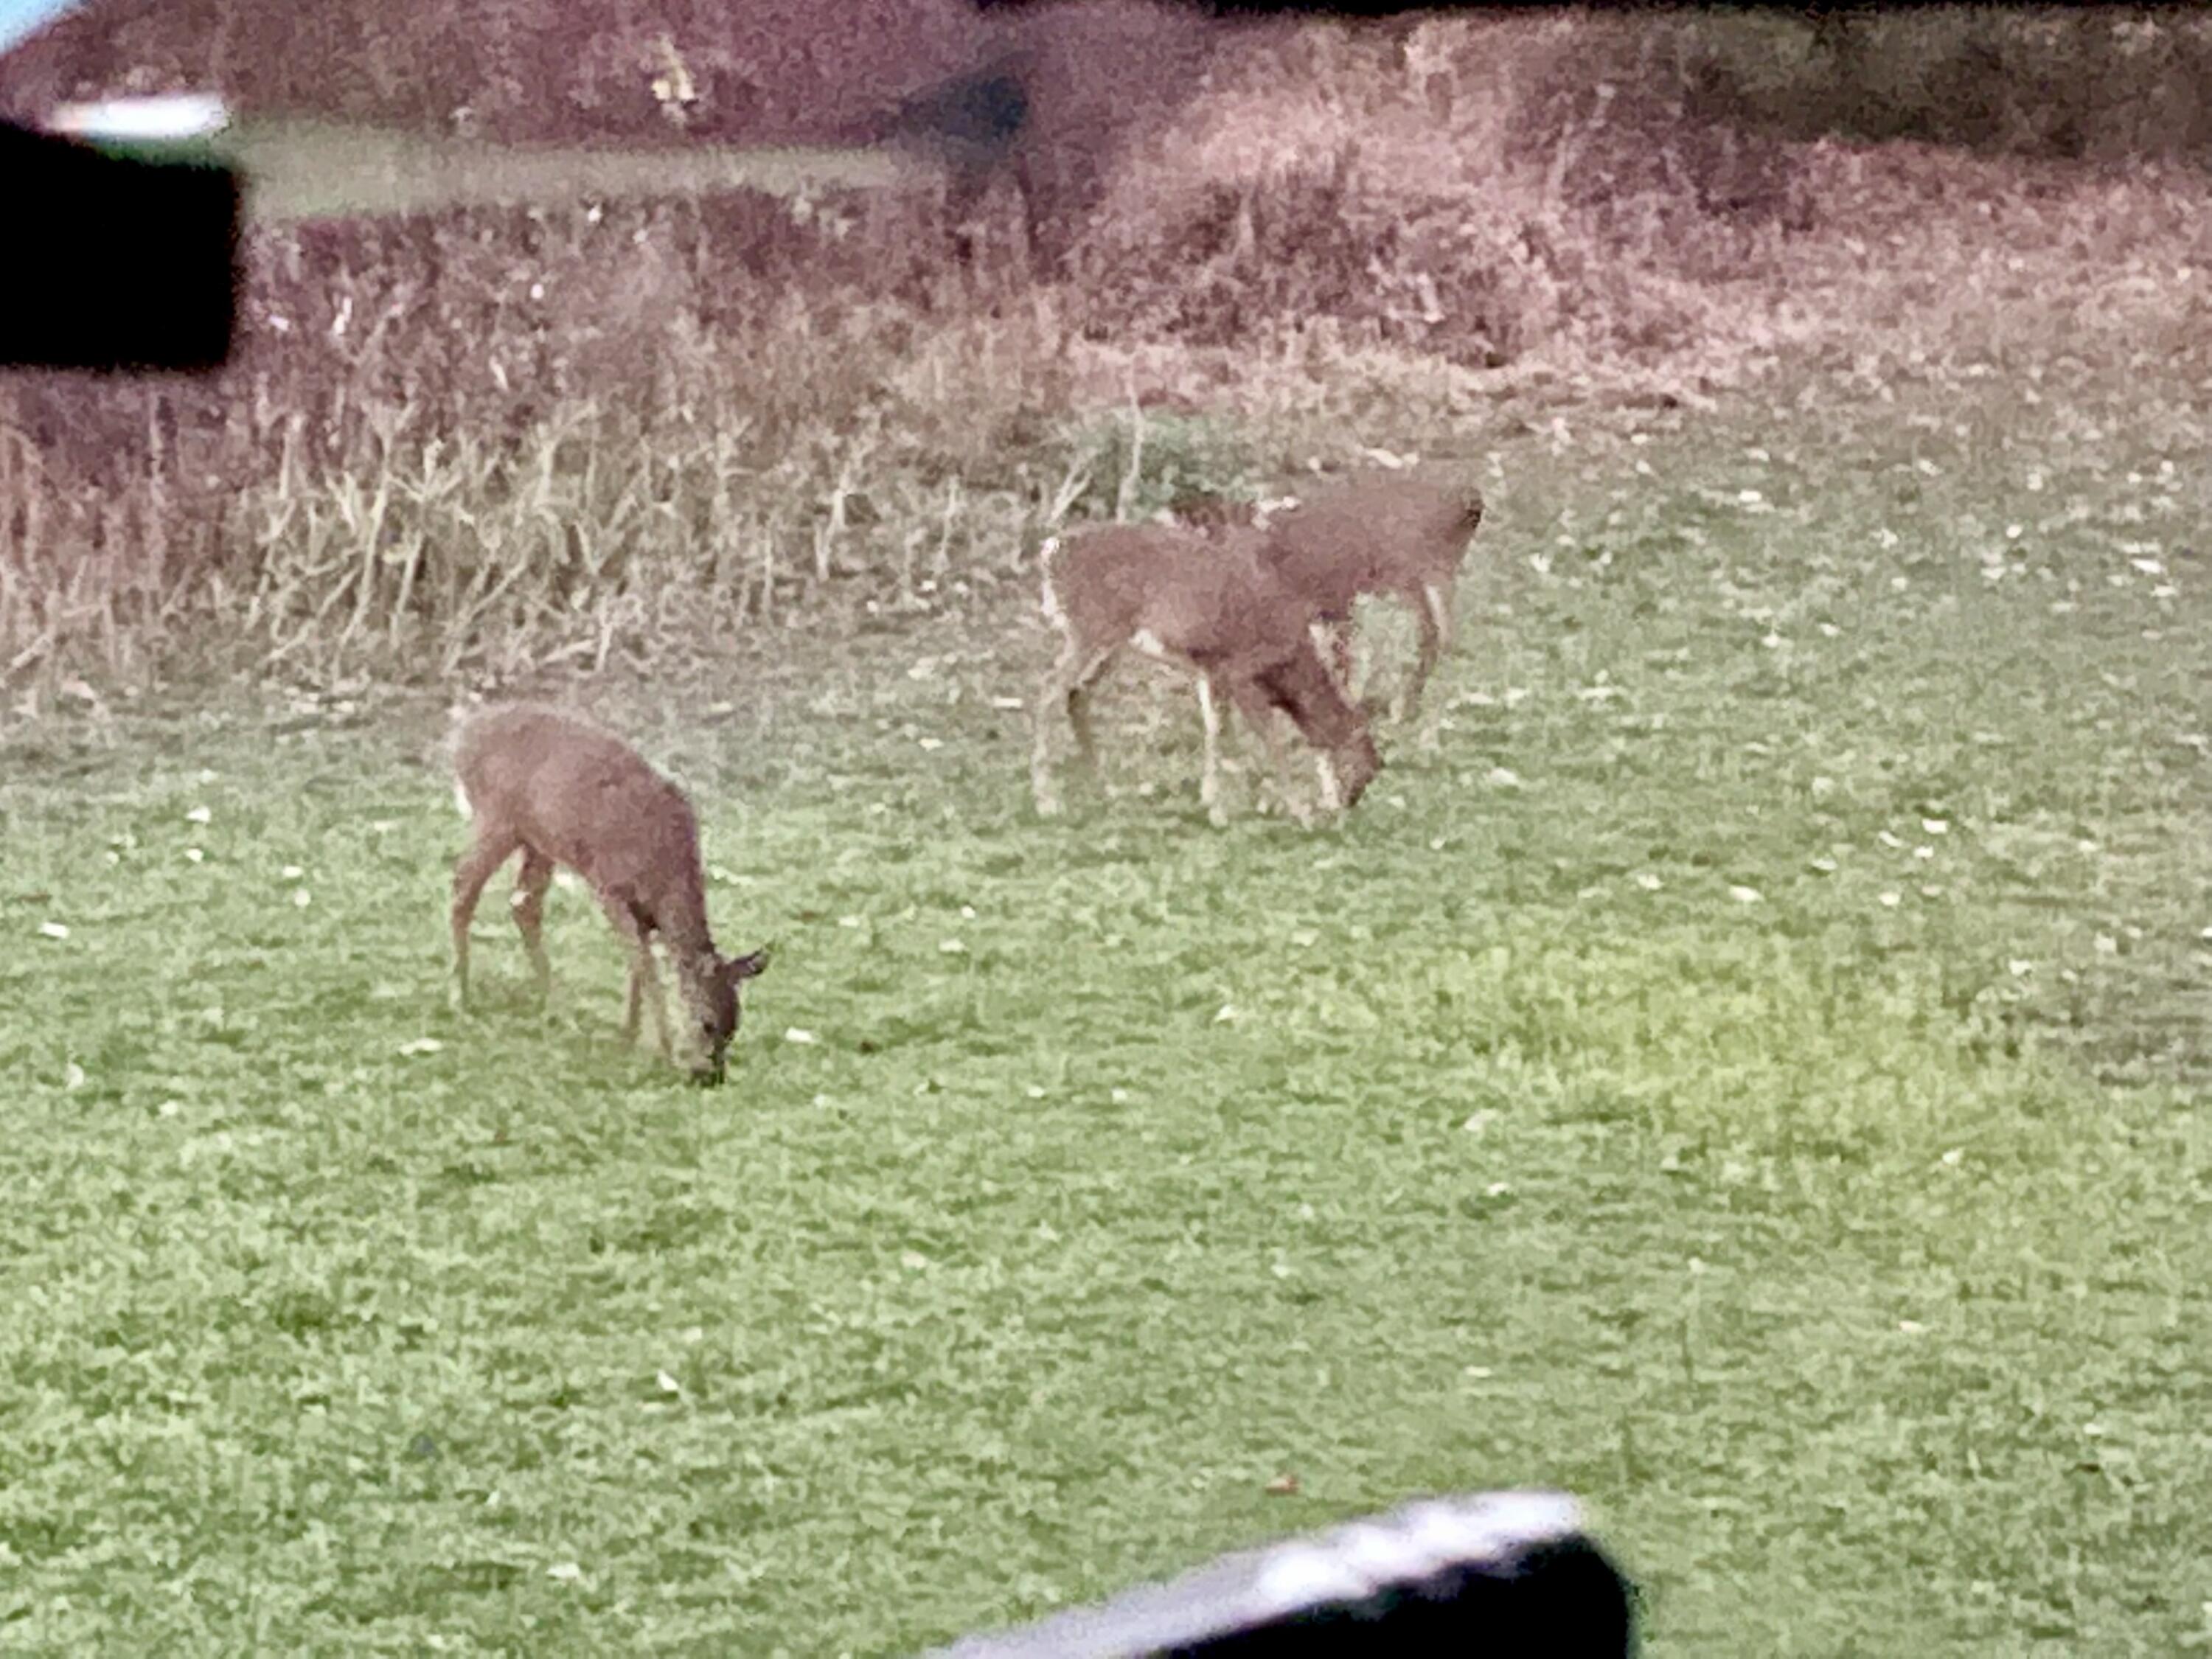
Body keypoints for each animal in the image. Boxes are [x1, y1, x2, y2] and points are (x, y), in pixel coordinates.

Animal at [447, 704, 769, 1084]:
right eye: (706, 1023)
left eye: (735, 1026)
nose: (710, 1077)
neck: (665, 877)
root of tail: (463, 737)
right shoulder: (610, 887)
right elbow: (645, 965)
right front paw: (665, 1050)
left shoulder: (643, 914)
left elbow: (637, 965)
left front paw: (629, 1036)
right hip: (497, 817)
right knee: (463, 885)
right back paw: (460, 998)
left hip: (539, 840)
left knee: (524, 906)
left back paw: (556, 1009)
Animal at [1029, 521, 1382, 827]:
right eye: (1366, 766)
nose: (1345, 807)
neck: (1290, 668)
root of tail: (1052, 550)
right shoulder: (1240, 672)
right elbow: (1271, 739)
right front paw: (1300, 812)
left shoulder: (1212, 671)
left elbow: (1214, 730)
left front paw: (1214, 805)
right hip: (1091, 629)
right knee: (1048, 690)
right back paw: (1047, 800)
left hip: (1110, 643)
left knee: (1076, 695)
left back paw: (1104, 788)